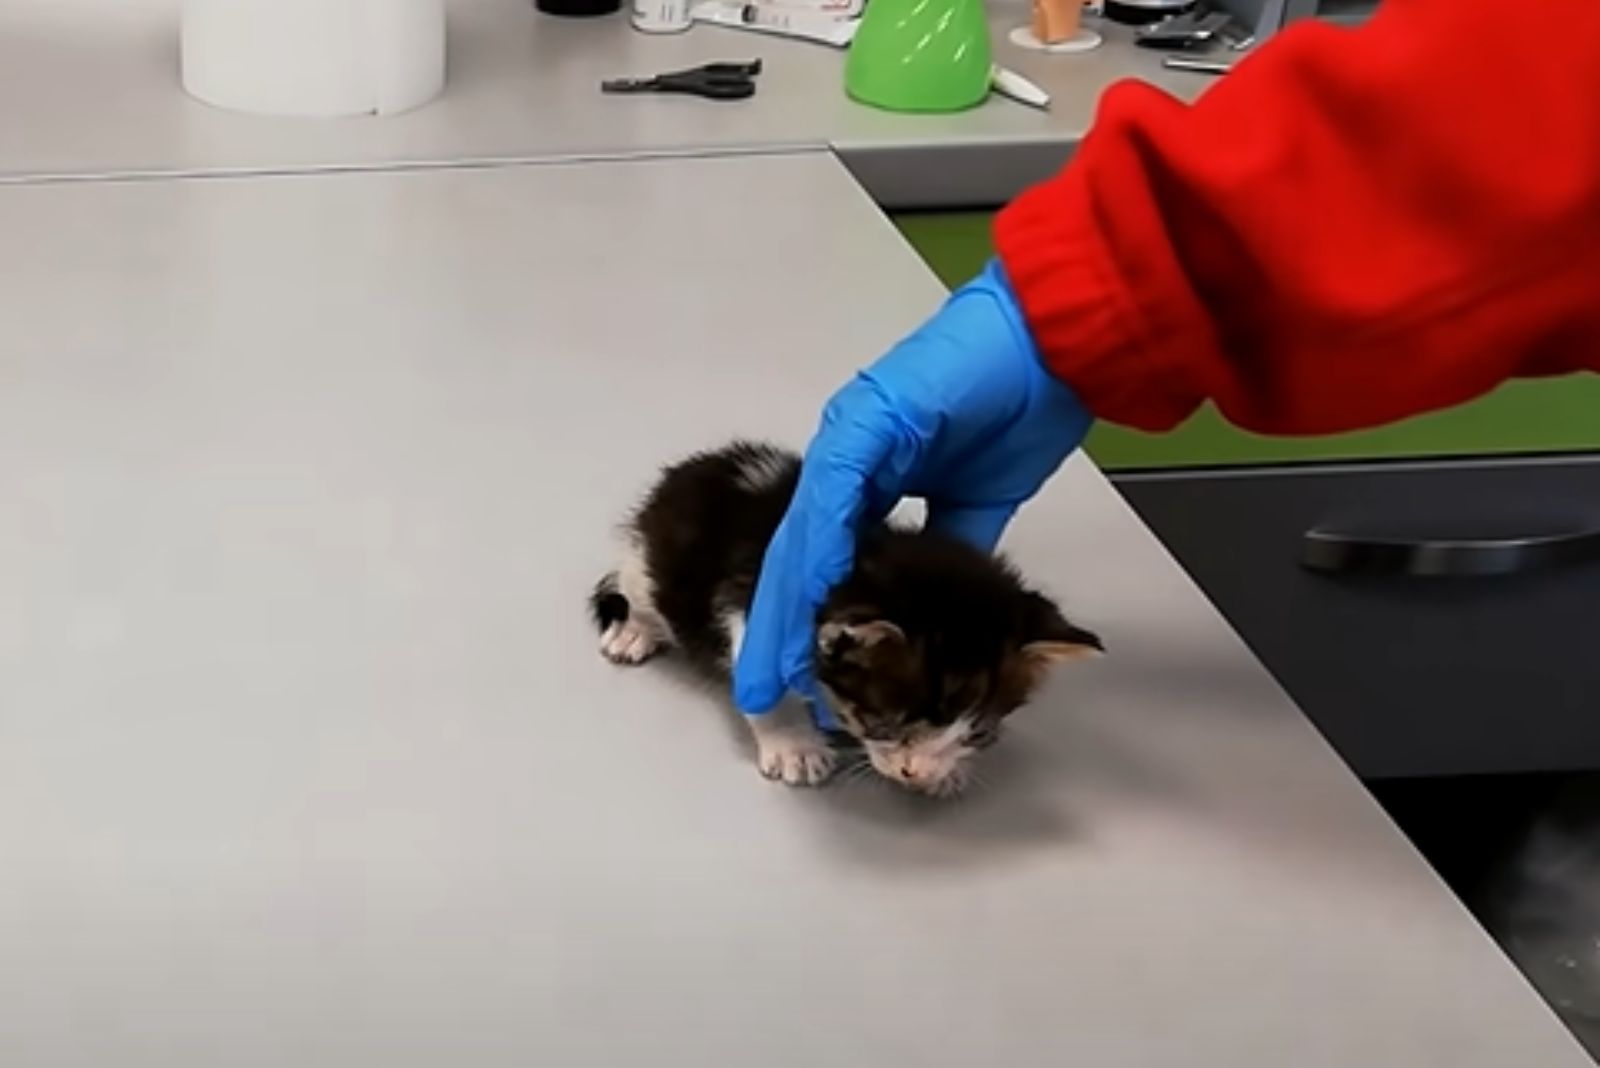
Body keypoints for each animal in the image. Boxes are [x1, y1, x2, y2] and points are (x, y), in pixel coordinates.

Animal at [588, 438, 1100, 796]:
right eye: (886, 721)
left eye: (977, 730)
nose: (915, 773)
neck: (867, 556)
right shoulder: (756, 609)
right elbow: (766, 687)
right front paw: (795, 746)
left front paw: (947, 770)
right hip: (648, 563)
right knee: (640, 592)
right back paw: (633, 632)